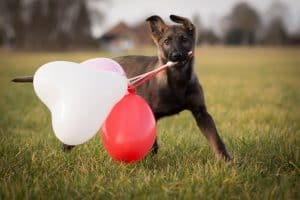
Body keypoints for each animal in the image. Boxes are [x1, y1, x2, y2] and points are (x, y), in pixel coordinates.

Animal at [12, 14, 232, 161]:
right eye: (166, 42)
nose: (176, 56)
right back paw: (64, 153)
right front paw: (149, 161)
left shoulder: (201, 113)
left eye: (185, 40)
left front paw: (226, 162)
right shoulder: (150, 113)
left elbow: (216, 139)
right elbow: (152, 143)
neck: (176, 81)